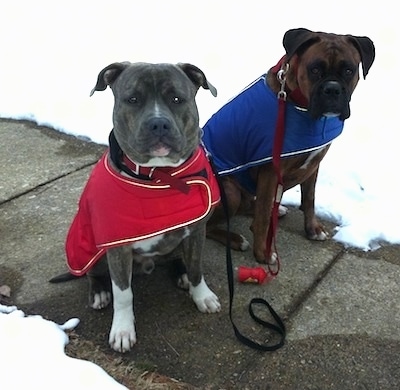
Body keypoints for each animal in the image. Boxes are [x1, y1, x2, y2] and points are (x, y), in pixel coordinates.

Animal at [64, 62, 219, 352]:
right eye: (133, 99)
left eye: (177, 99)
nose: (158, 123)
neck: (160, 176)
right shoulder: (117, 247)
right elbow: (123, 294)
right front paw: (123, 330)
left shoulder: (196, 231)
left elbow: (196, 268)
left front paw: (201, 295)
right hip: (91, 250)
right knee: (93, 274)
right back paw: (99, 292)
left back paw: (180, 273)